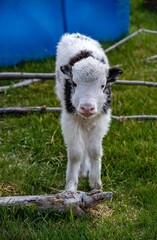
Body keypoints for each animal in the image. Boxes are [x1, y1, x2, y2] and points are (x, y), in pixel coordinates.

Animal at [55, 32, 122, 192]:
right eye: (74, 83)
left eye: (103, 85)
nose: (87, 108)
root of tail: (76, 34)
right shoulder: (69, 119)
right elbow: (75, 153)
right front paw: (71, 186)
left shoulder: (101, 120)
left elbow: (94, 151)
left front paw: (96, 184)